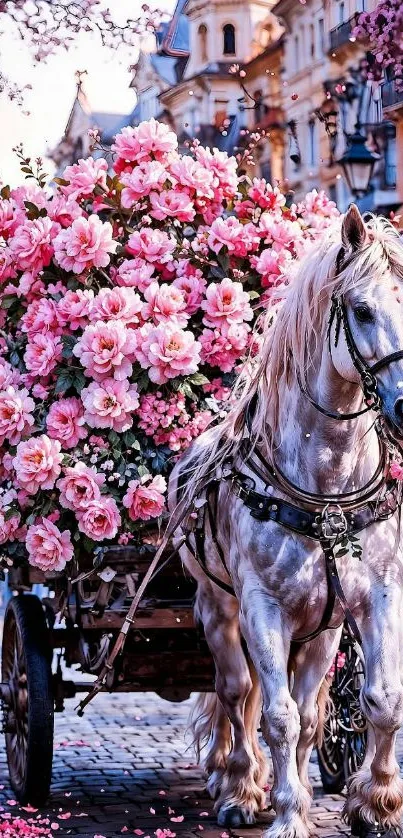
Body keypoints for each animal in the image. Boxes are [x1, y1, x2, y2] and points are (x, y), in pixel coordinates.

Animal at [168, 205, 403, 838]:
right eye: (362, 309)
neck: (326, 492)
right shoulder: (261, 606)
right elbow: (274, 714)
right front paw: (287, 814)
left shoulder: (371, 597)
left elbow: (377, 701)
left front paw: (376, 803)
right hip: (218, 607)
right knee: (234, 692)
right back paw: (238, 786)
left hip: (318, 630)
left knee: (304, 709)